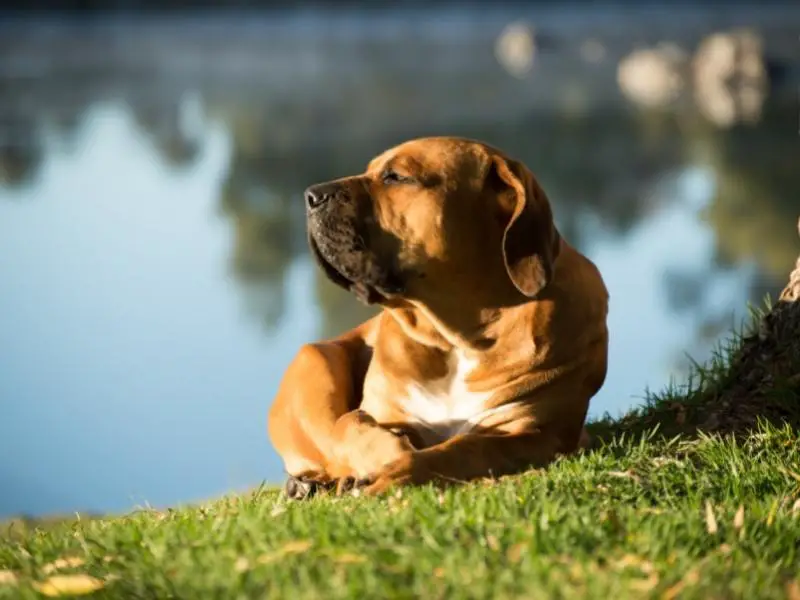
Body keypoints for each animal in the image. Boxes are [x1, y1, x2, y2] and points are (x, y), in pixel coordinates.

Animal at [268, 136, 608, 496]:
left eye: (395, 177)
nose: (312, 195)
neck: (456, 337)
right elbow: (350, 425)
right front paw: (387, 454)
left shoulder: (534, 431)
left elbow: (464, 448)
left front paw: (400, 469)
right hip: (316, 361)